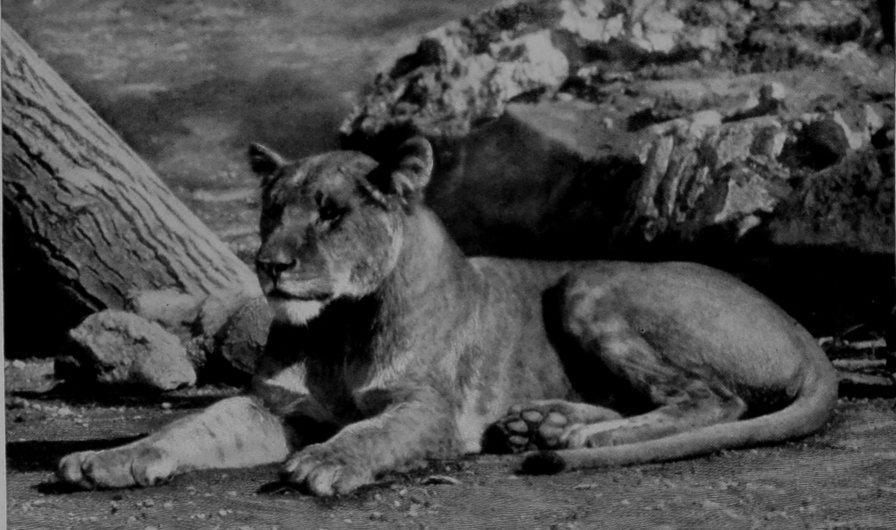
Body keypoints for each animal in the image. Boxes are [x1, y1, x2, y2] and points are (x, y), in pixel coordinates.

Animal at [58, 137, 838, 496]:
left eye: (331, 215)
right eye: (272, 211)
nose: (270, 263)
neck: (339, 328)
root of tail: (803, 329)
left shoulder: (429, 407)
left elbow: (370, 432)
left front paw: (326, 463)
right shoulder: (272, 406)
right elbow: (186, 427)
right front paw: (109, 458)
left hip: (589, 281)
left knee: (713, 399)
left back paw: (570, 439)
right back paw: (540, 424)